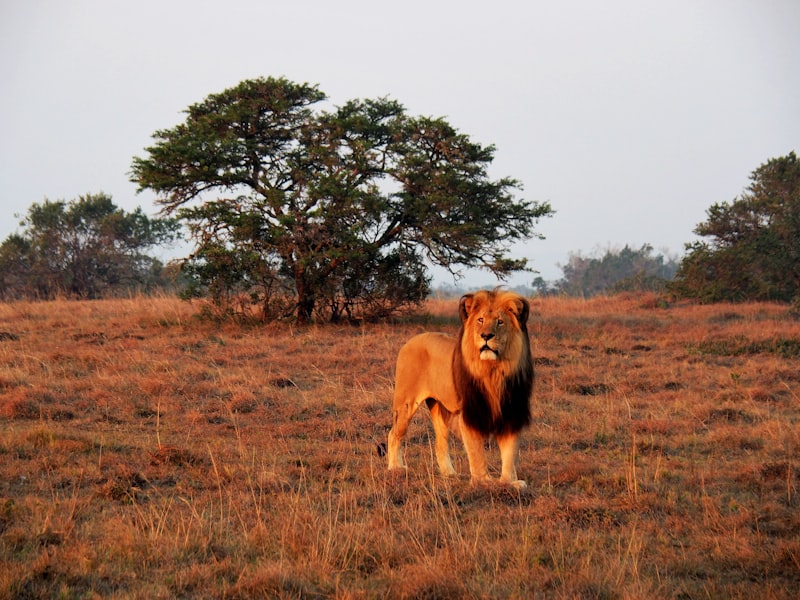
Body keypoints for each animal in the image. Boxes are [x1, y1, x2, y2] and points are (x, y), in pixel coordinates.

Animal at [386, 289, 534, 488]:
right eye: (480, 320)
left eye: (500, 322)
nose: (486, 336)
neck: (494, 371)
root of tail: (411, 340)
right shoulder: (470, 414)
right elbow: (477, 452)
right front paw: (483, 482)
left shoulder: (512, 414)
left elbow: (510, 454)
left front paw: (509, 482)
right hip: (406, 403)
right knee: (393, 433)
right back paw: (396, 468)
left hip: (440, 408)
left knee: (440, 443)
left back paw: (449, 474)